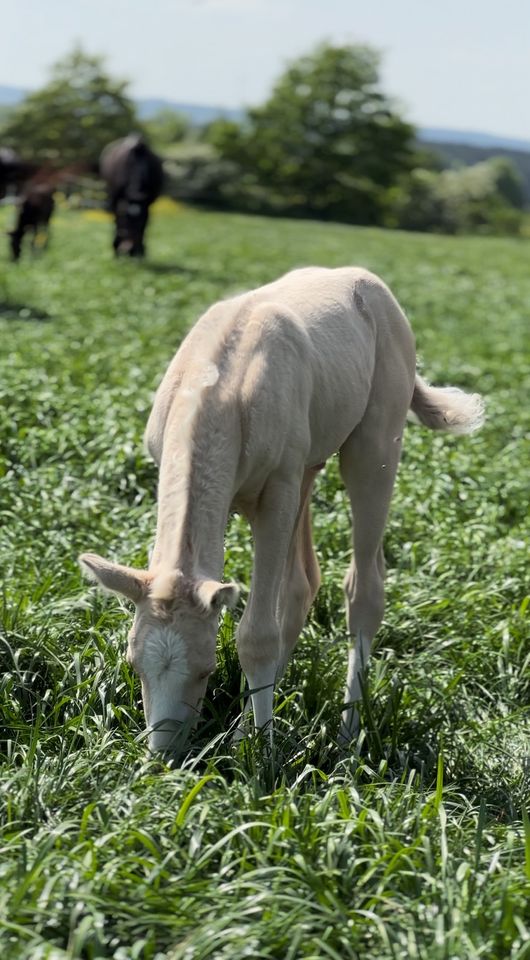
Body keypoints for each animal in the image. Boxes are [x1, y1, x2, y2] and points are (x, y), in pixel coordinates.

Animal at [79, 266, 482, 752]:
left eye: (205, 669)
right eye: (133, 661)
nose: (164, 757)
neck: (216, 384)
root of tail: (371, 283)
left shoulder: (277, 492)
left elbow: (256, 634)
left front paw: (263, 753)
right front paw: (251, 735)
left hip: (375, 445)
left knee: (364, 585)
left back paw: (346, 736)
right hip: (309, 465)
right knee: (303, 583)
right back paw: (244, 727)